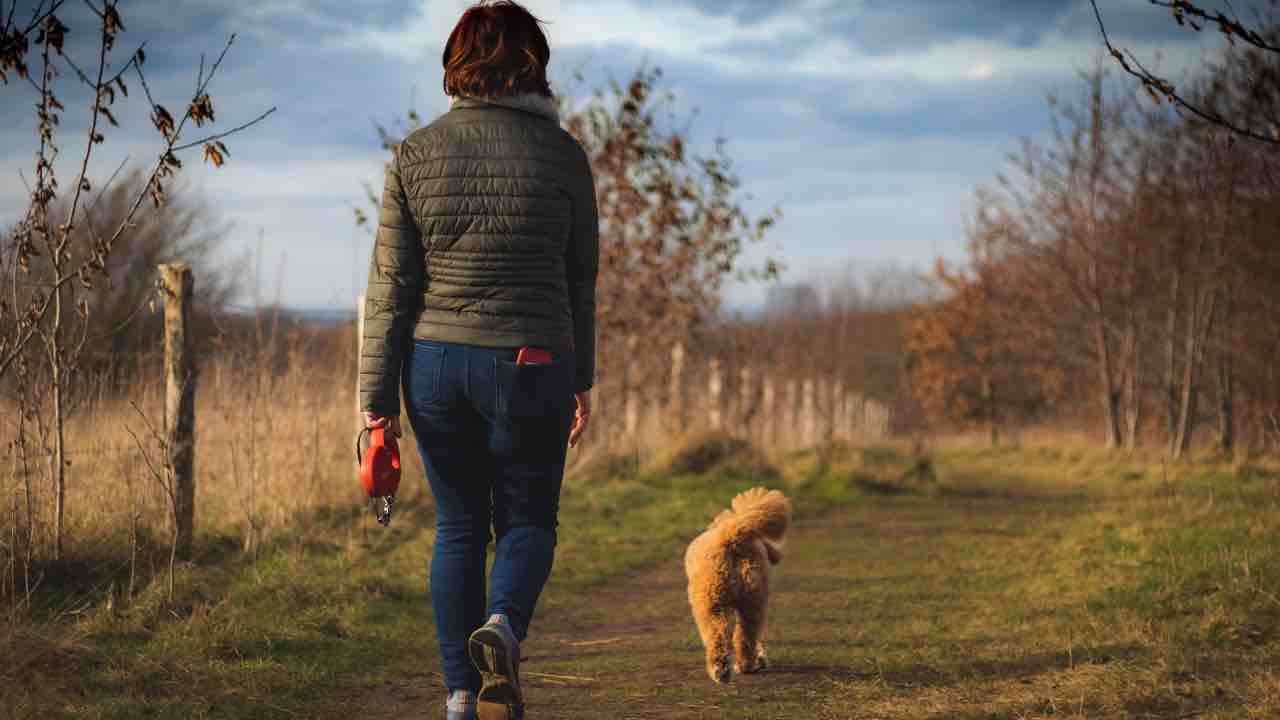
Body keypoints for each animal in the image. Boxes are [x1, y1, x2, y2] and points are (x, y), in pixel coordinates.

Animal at [686, 484, 783, 681]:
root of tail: (732, 536)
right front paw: (761, 658)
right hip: (753, 601)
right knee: (746, 636)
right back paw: (745, 665)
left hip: (711, 604)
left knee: (717, 637)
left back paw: (720, 670)